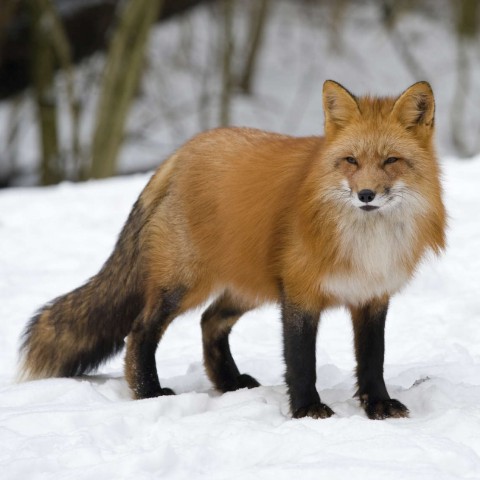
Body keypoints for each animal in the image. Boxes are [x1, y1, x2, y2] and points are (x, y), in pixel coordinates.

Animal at [18, 81, 446, 420]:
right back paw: (148, 392)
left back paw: (229, 382)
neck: (367, 240)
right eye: (351, 161)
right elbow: (301, 361)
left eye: (391, 160)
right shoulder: (300, 292)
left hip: (249, 286)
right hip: (183, 284)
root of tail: (182, 151)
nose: (366, 194)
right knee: (139, 332)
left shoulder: (373, 294)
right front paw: (306, 409)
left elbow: (373, 359)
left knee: (210, 322)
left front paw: (378, 405)